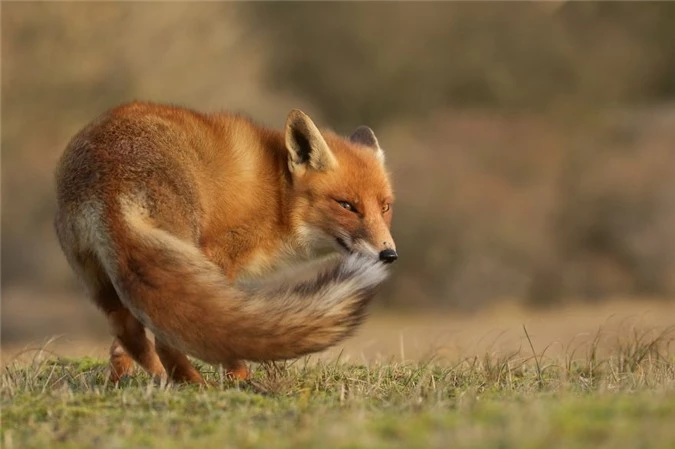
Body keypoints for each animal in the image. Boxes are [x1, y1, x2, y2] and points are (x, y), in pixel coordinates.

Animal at [56, 101, 396, 382]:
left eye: (385, 207)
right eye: (347, 206)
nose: (389, 254)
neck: (277, 197)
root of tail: (111, 178)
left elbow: (121, 346)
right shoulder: (219, 256)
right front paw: (236, 377)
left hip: (102, 278)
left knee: (128, 333)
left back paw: (141, 380)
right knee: (169, 339)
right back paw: (196, 384)